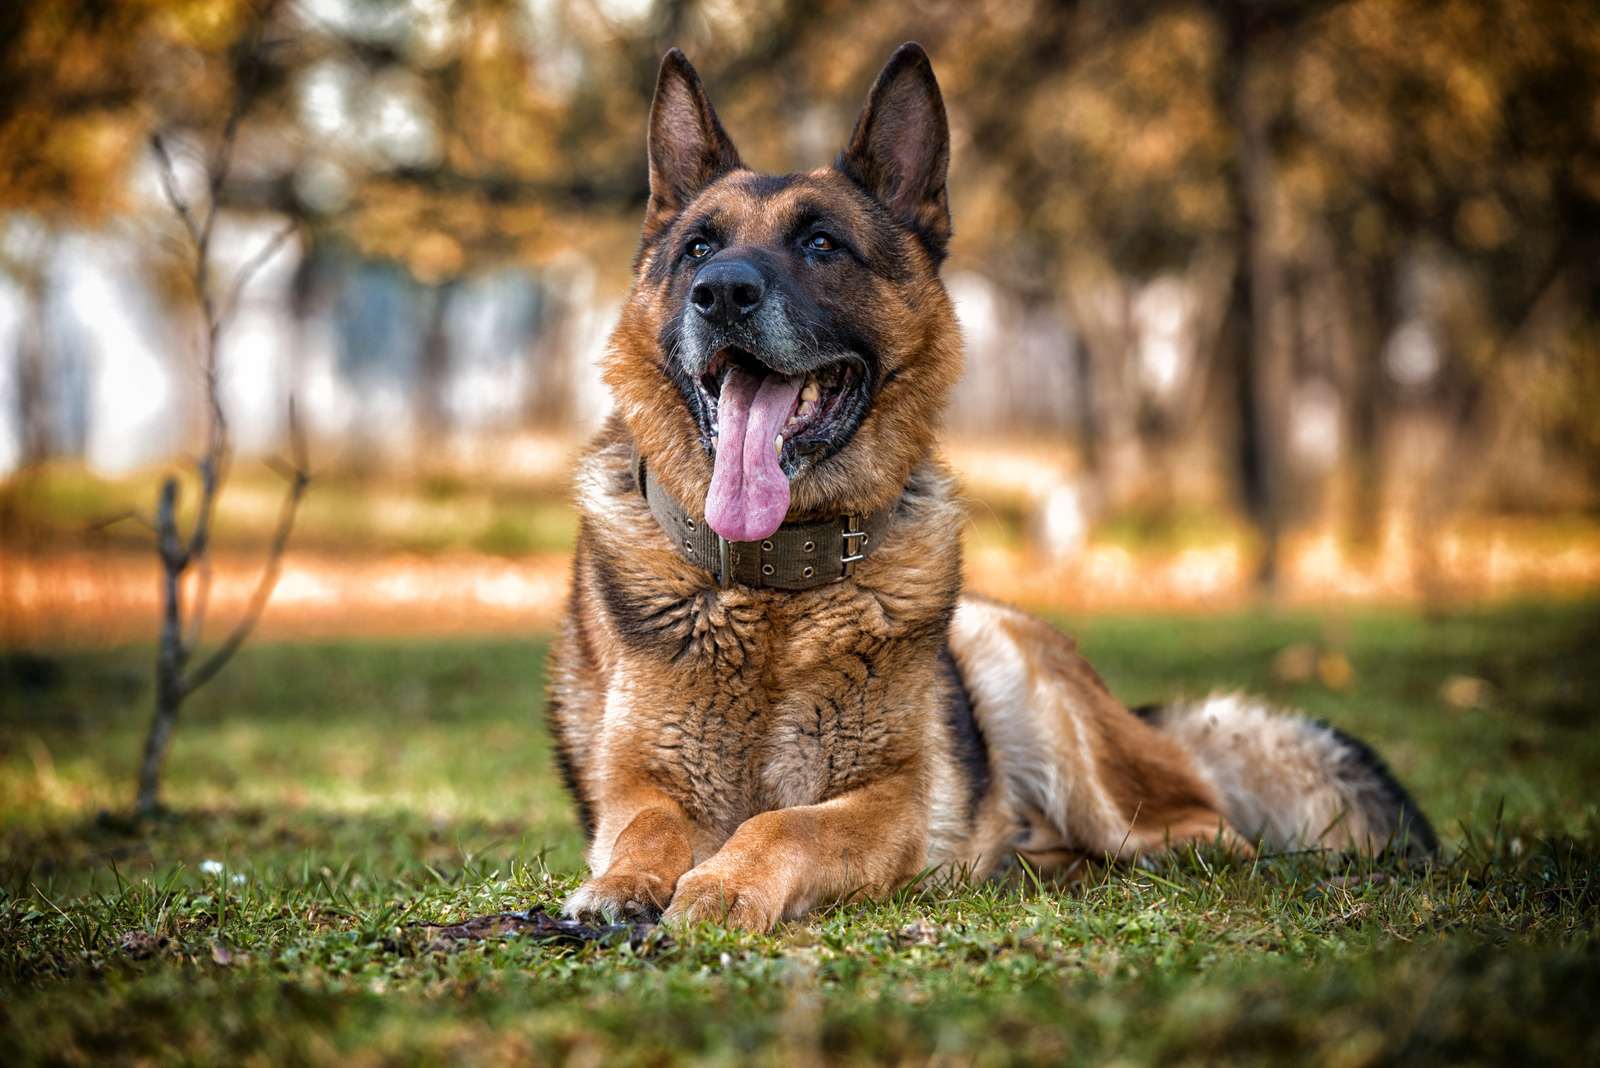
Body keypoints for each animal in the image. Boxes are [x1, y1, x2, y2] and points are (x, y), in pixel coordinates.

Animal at [550, 43, 1440, 927]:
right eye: (698, 250)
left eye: (822, 244)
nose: (723, 293)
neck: (776, 587)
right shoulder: (641, 786)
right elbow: (648, 827)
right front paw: (625, 883)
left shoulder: (889, 803)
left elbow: (782, 825)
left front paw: (726, 883)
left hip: (1044, 706)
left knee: (1206, 830)